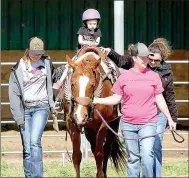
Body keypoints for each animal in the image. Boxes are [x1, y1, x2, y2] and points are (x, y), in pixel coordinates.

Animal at [62, 46, 127, 177]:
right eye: (72, 84)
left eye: (92, 85)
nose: (80, 116)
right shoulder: (71, 122)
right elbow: (76, 155)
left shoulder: (103, 124)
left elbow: (99, 154)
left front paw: (100, 174)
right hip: (89, 129)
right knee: (93, 147)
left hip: (113, 124)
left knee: (106, 149)